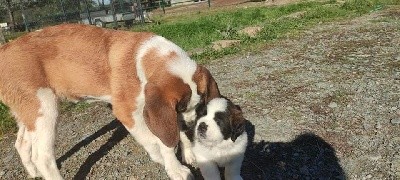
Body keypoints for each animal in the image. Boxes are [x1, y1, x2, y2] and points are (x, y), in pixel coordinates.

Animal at [0, 23, 222, 180]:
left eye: (200, 105)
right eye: (181, 106)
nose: (191, 124)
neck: (142, 56)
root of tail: (6, 47)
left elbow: (170, 134)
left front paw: (188, 152)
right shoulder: (129, 112)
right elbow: (157, 141)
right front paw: (172, 166)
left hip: (29, 112)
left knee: (21, 144)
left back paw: (33, 172)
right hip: (45, 109)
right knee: (43, 157)